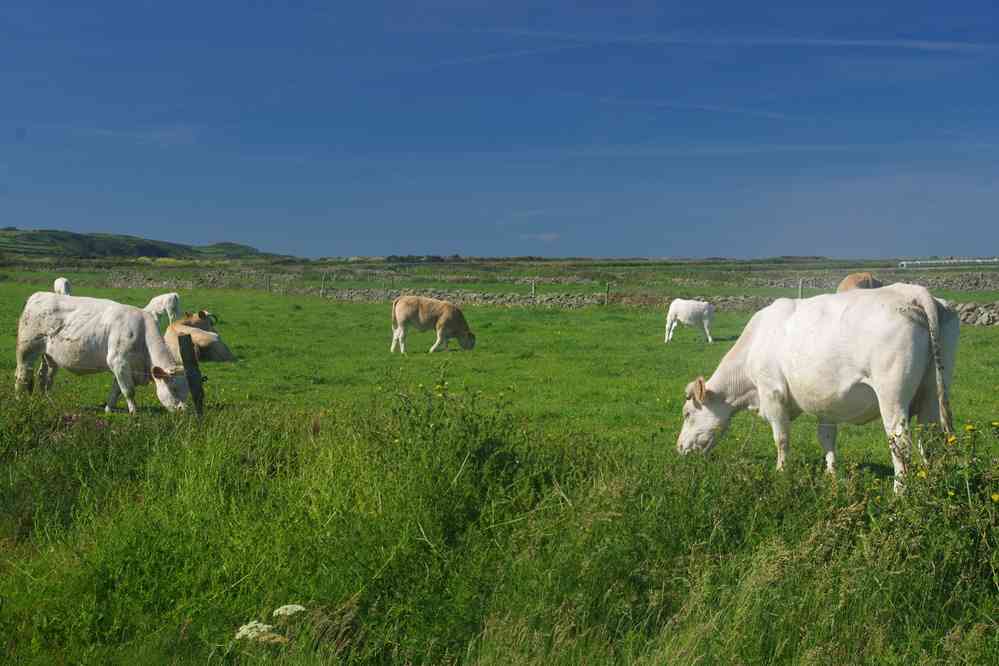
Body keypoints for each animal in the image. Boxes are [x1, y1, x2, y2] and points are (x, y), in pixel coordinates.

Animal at [15, 293, 189, 413]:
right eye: (173, 388)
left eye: (186, 390)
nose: (183, 410)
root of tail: (37, 295)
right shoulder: (118, 361)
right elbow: (128, 391)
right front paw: (134, 412)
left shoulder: (122, 367)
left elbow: (116, 390)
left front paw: (109, 409)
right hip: (26, 350)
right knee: (22, 375)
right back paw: (19, 400)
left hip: (48, 356)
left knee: (44, 377)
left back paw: (47, 401)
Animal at [675, 283, 958, 491]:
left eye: (687, 414)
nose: (678, 448)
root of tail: (911, 290)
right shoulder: (826, 402)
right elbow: (826, 438)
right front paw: (832, 475)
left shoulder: (773, 394)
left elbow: (781, 439)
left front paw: (781, 473)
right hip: (932, 393)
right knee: (930, 437)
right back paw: (931, 483)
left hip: (892, 396)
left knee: (900, 443)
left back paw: (900, 492)